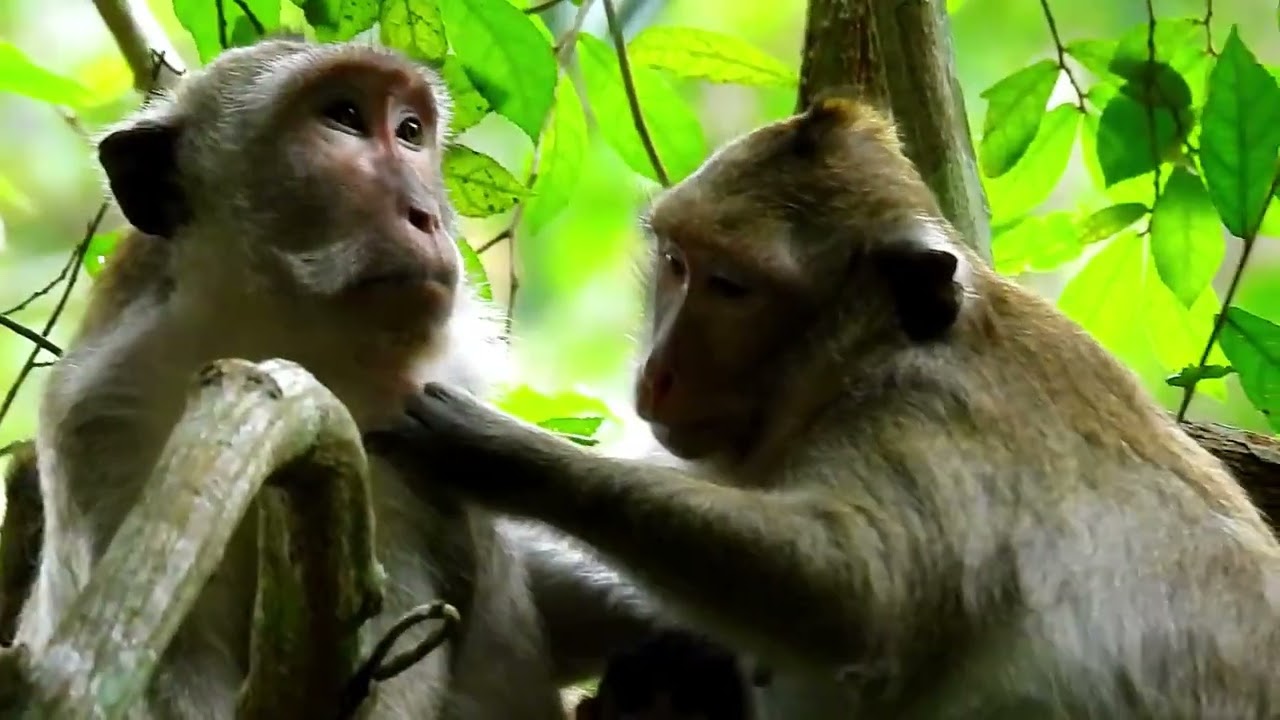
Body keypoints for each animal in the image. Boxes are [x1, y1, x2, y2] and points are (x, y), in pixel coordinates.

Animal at [17, 37, 667, 719]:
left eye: (410, 132)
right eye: (345, 118)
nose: (427, 216)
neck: (280, 338)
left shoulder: (411, 428)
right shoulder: (104, 419)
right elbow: (172, 658)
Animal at [364, 97, 1280, 719]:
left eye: (733, 288)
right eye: (676, 263)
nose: (658, 375)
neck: (860, 364)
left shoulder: (928, 417)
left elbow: (857, 591)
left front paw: (501, 452)